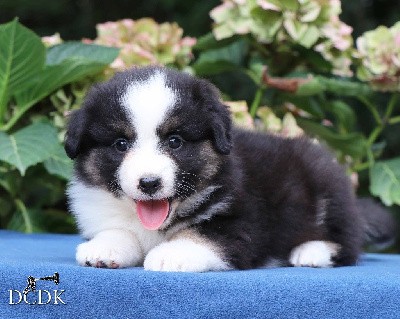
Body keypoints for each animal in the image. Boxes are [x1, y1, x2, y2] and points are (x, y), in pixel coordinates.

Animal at [64, 66, 392, 272]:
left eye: (175, 141)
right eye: (121, 144)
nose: (149, 183)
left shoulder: (243, 222)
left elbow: (204, 235)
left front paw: (171, 253)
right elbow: (118, 230)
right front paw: (104, 248)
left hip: (327, 188)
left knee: (348, 242)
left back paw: (310, 251)